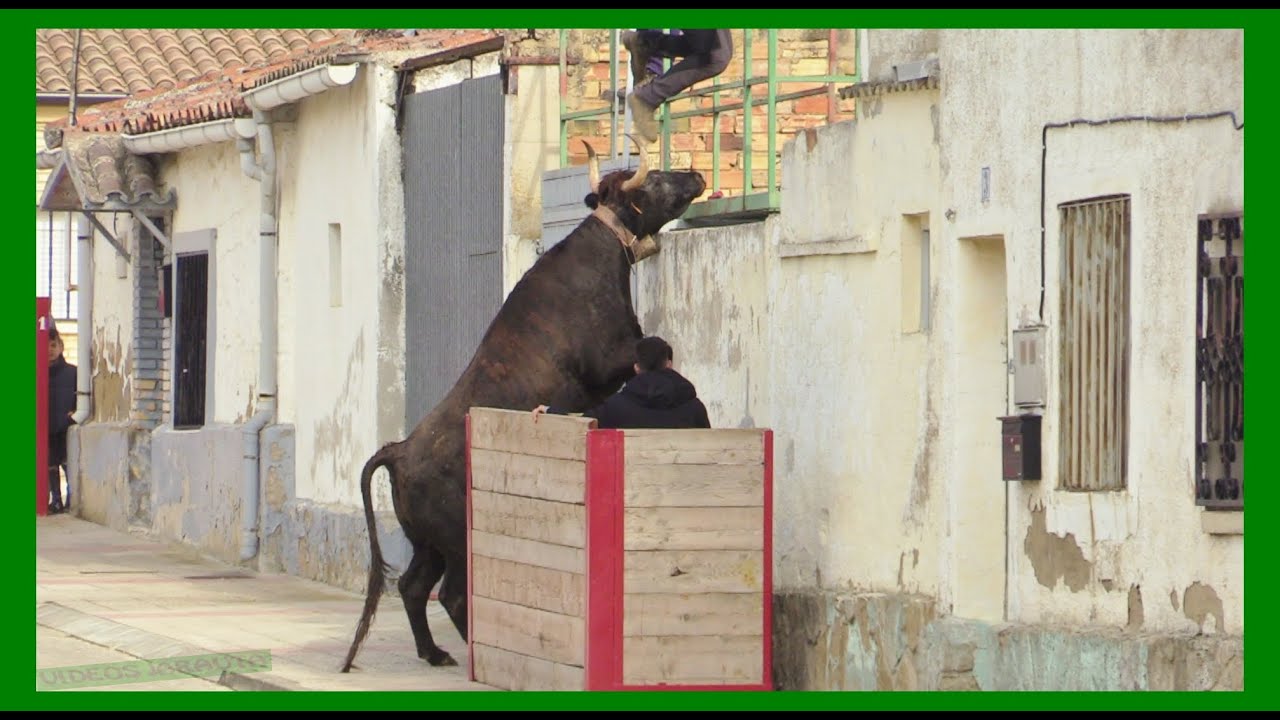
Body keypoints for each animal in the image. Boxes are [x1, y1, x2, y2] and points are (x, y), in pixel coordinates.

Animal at [341, 135, 707, 672]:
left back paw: (435, 654)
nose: (697, 175)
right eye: (655, 179)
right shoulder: (611, 364)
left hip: (427, 542)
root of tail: (400, 449)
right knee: (453, 593)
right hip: (457, 538)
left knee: (412, 586)